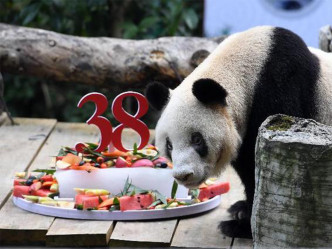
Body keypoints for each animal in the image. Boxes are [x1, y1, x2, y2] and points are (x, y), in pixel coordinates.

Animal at [145, 26, 332, 238]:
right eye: (169, 145)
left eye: (197, 139)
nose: (183, 175)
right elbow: (247, 166)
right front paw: (243, 214)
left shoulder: (281, 85)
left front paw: (241, 227)